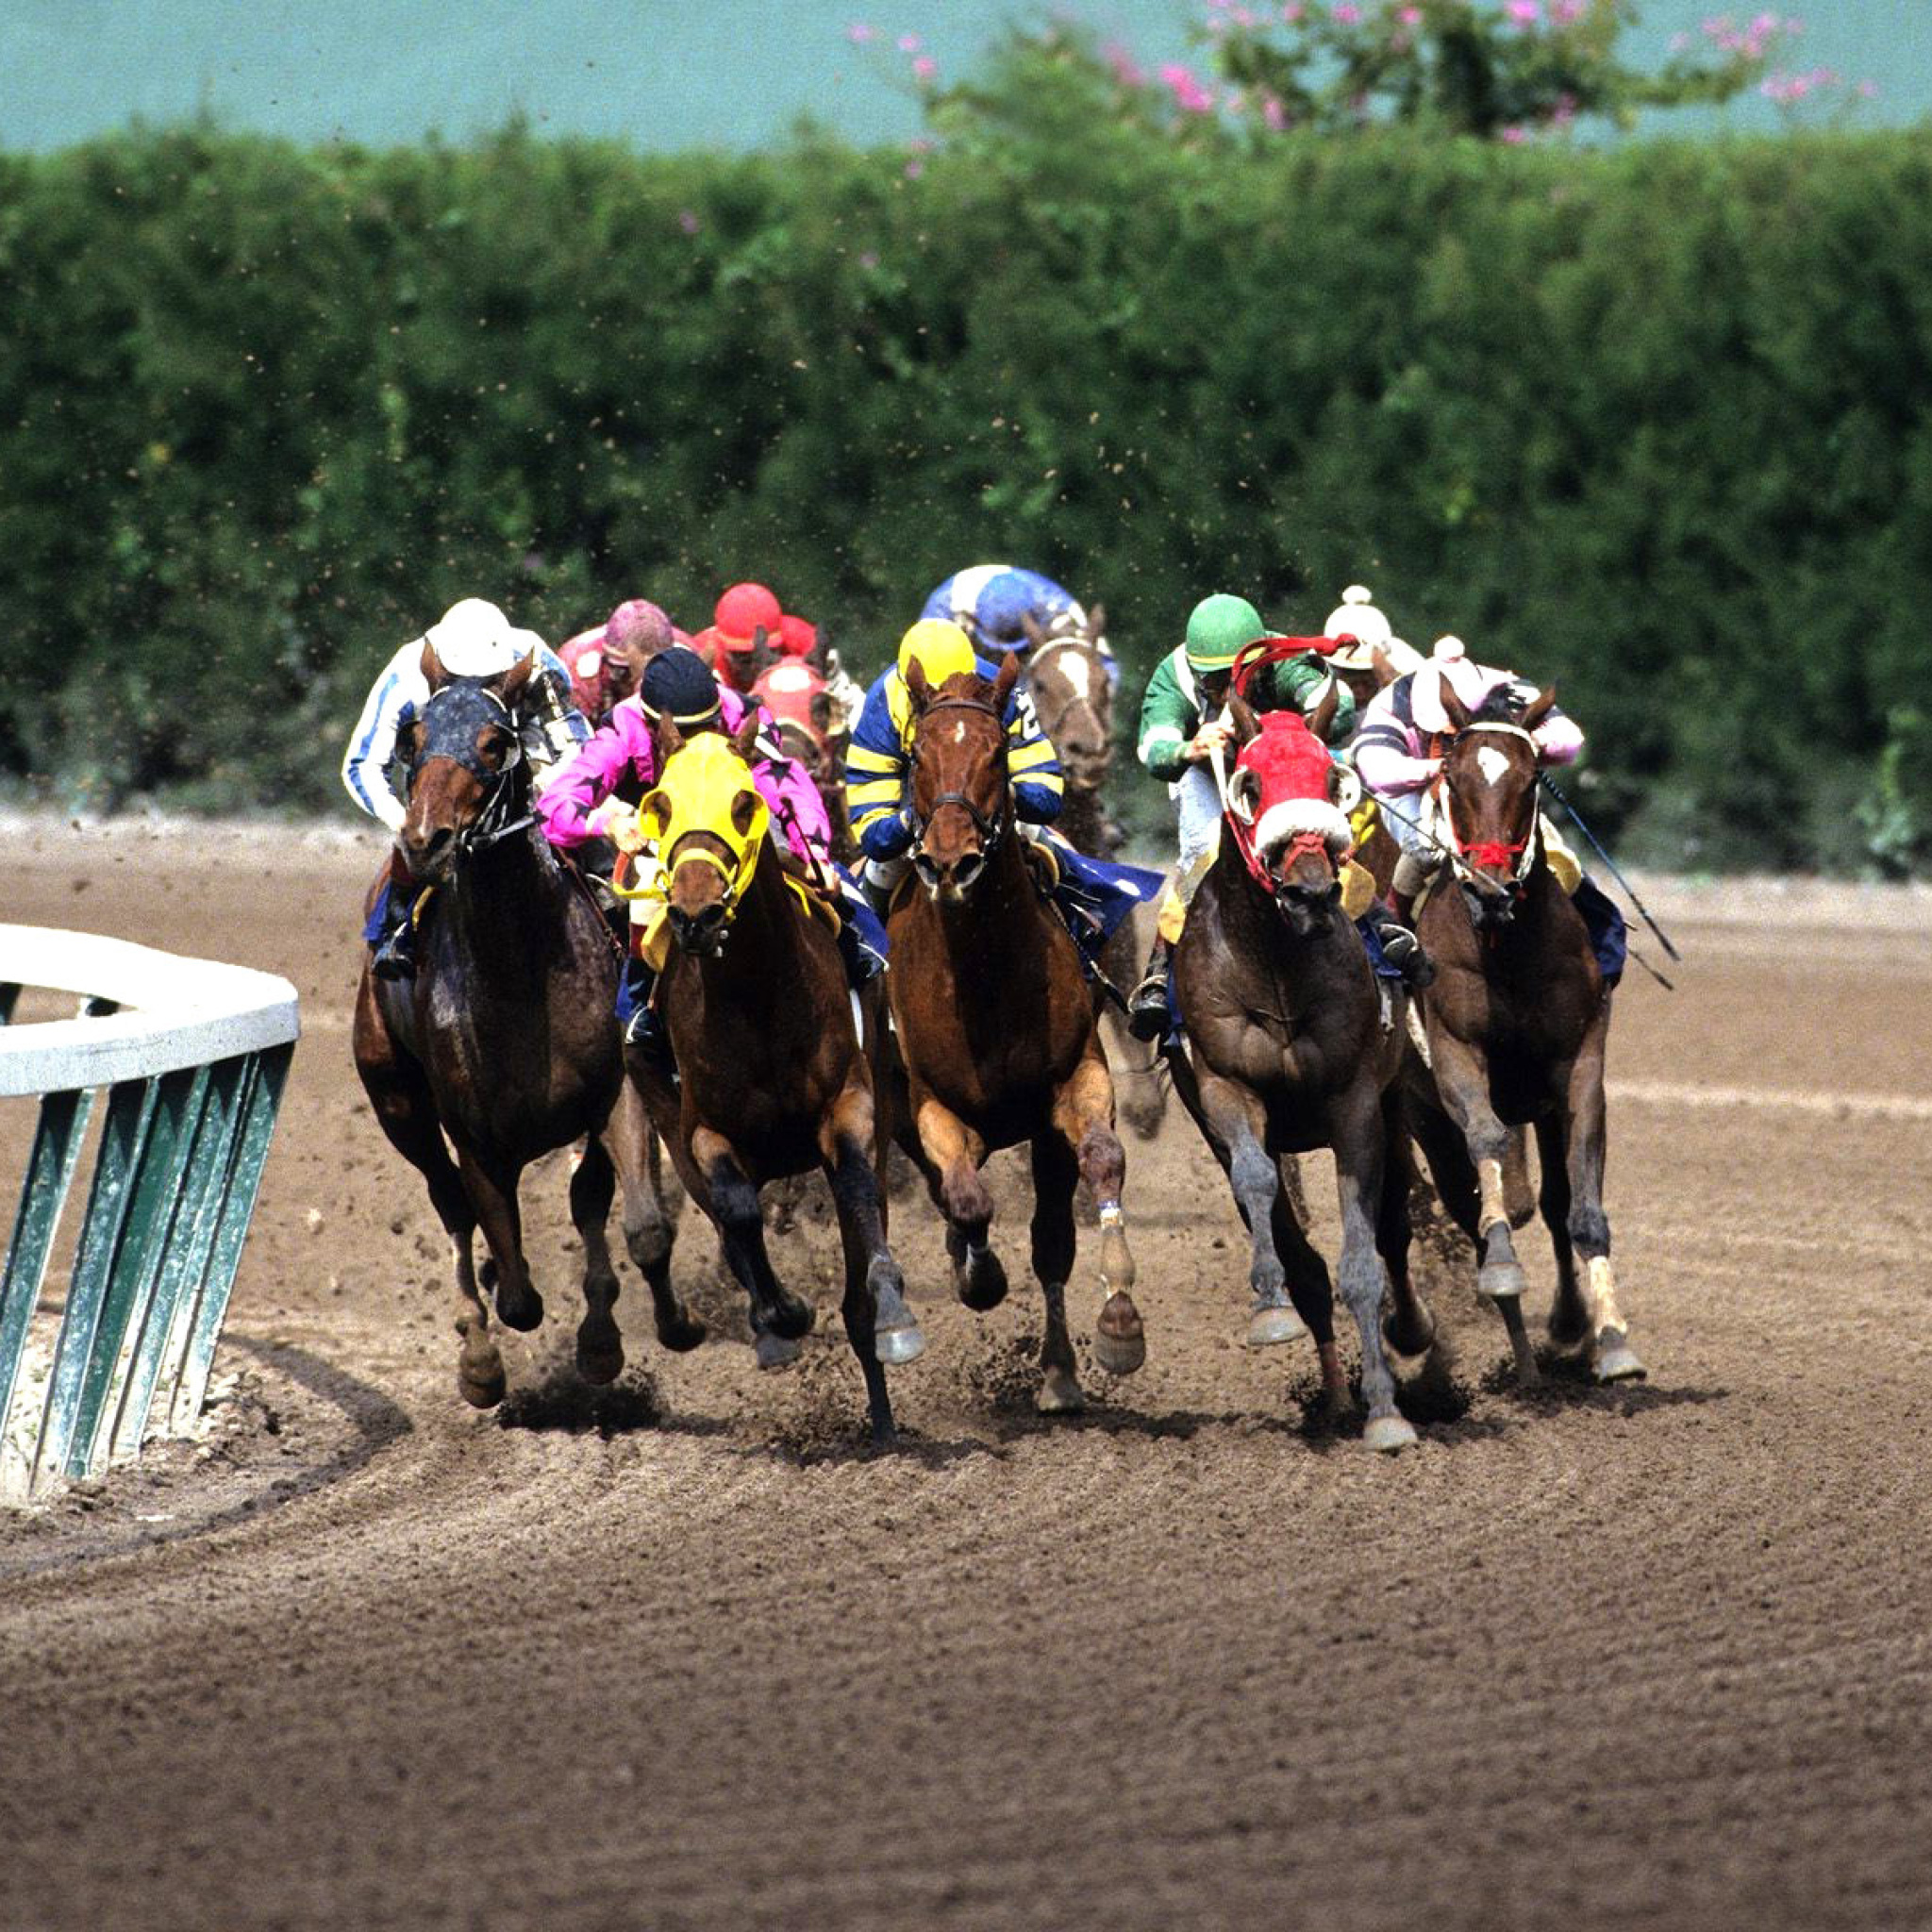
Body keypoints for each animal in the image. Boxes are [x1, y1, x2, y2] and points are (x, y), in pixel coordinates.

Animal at [355, 641, 703, 1414]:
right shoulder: (476, 1136)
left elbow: (641, 1226)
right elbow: (515, 1289)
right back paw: (477, 1350)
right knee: (452, 1205)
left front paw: (647, 1332)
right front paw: (489, 1345)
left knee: (584, 1205)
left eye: (494, 742)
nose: (425, 842)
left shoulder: (615, 1095)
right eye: (413, 738)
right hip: (398, 1105)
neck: (517, 968)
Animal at [618, 710, 919, 1437]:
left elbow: (858, 1190)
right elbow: (738, 1213)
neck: (755, 995)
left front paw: (891, 1316)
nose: (695, 917)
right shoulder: (702, 1133)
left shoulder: (850, 1105)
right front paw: (782, 1320)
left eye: (743, 803)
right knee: (731, 1229)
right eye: (662, 806)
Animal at [889, 657, 1143, 1414]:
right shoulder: (933, 1108)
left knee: (1050, 1236)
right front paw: (979, 1278)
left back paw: (1058, 1370)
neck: (983, 968)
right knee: (950, 1198)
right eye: (917, 755)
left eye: (999, 752)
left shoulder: (1074, 1081)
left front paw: (1118, 1323)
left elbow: (1100, 1164)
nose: (952, 861)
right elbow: (969, 1200)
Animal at [1158, 699, 1437, 1453]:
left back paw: (1407, 1335)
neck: (1278, 966)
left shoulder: (1356, 1106)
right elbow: (1258, 1185)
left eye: (1329, 778)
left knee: (1394, 1230)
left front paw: (1387, 1410)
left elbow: (1364, 1261)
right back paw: (1332, 1389)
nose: (1310, 891)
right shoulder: (1225, 1089)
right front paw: (1270, 1306)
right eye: (1251, 783)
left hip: (1397, 1104)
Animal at [1398, 688, 1654, 1383]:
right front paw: (1506, 1273)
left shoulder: (1578, 1066)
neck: (1506, 951)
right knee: (1468, 1207)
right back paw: (1516, 1342)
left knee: (1554, 1202)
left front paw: (1610, 1338)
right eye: (1453, 777)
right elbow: (1486, 1143)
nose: (1491, 889)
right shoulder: (1455, 1055)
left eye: (1529, 778)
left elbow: (1579, 1207)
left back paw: (1563, 1331)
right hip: (1421, 1116)